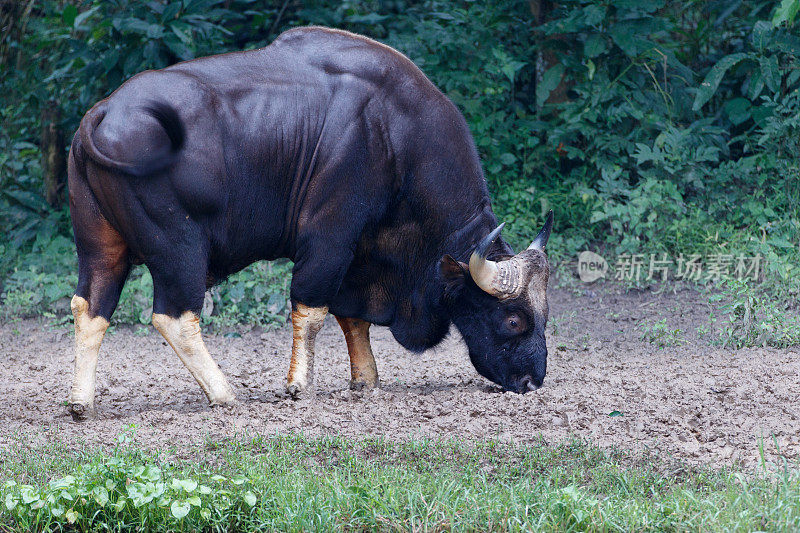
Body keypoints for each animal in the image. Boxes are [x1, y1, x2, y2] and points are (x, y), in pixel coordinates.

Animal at [65, 25, 552, 418]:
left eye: (545, 317)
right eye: (513, 320)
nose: (533, 381)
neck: (396, 135)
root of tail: (101, 115)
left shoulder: (359, 253)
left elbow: (352, 316)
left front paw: (365, 379)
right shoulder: (330, 236)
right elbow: (314, 309)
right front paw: (299, 385)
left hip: (101, 246)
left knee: (90, 307)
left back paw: (81, 402)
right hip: (178, 245)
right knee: (174, 316)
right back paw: (224, 393)